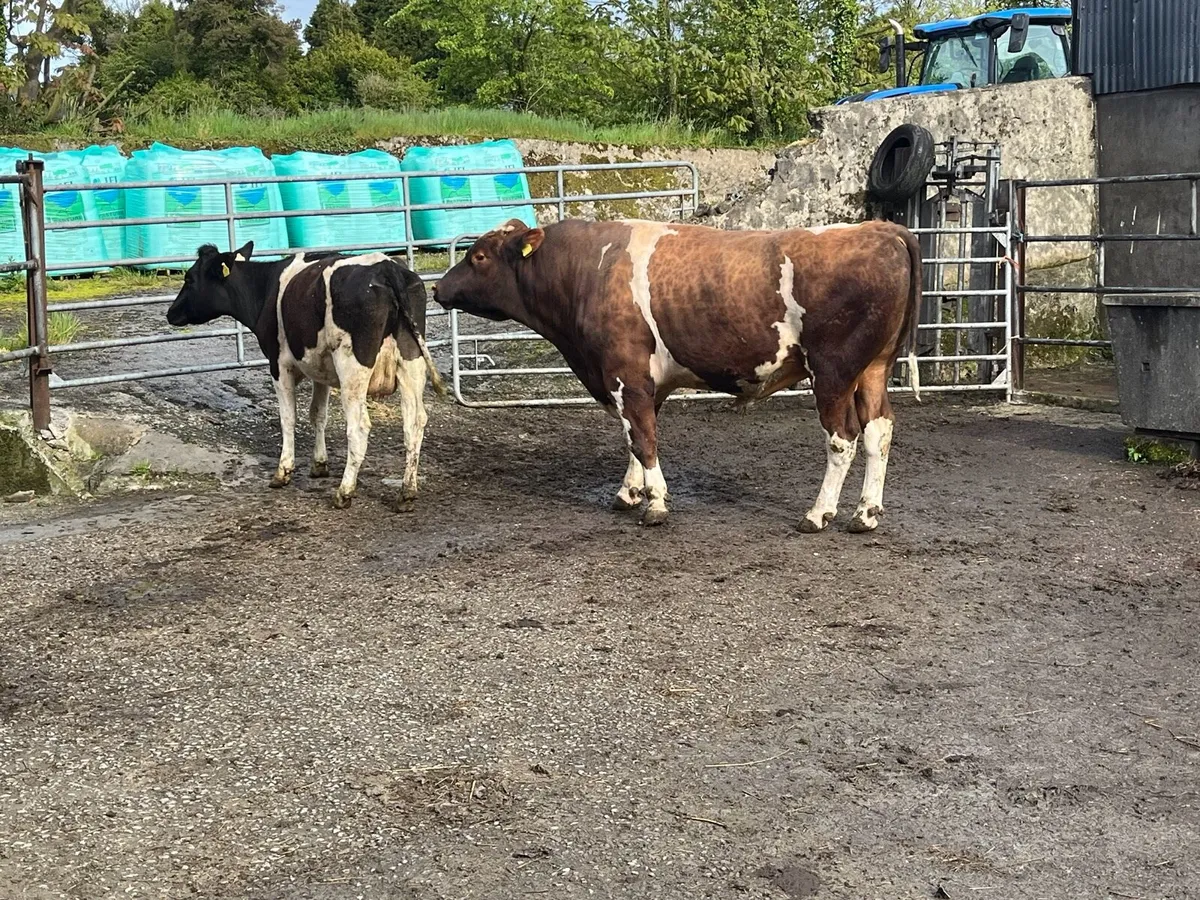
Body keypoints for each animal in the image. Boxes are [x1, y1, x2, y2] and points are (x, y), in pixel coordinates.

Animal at [166, 242, 445, 510]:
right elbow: (318, 414)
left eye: (190, 278)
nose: (170, 313)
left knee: (359, 428)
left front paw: (283, 471)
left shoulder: (279, 365)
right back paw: (406, 492)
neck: (265, 289)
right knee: (415, 422)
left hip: (352, 368)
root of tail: (387, 267)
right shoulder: (320, 369)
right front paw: (319, 464)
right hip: (411, 361)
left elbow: (288, 418)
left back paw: (344, 492)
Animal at [433, 218, 921, 531]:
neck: (588, 269)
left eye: (478, 257)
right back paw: (865, 514)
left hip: (834, 372)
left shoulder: (624, 374)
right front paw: (630, 493)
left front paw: (655, 505)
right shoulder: (645, 384)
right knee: (879, 431)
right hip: (873, 370)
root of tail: (881, 228)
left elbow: (645, 440)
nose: (437, 288)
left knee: (843, 440)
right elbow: (636, 437)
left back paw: (818, 515)